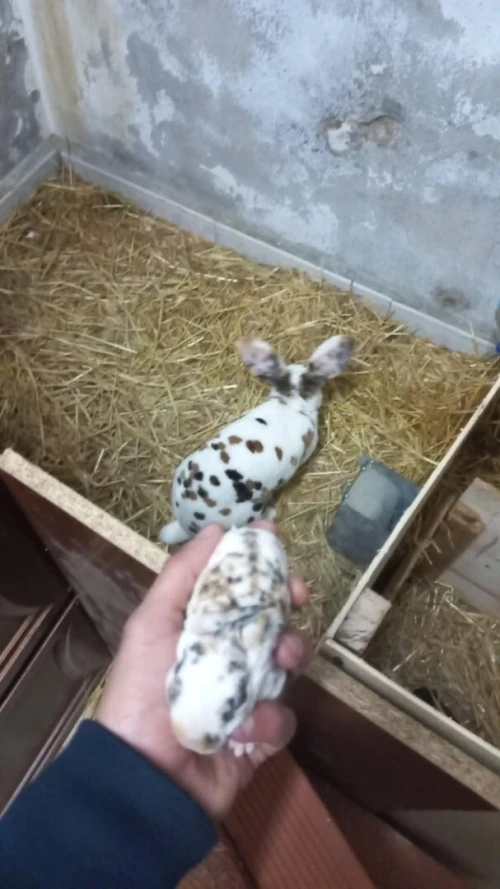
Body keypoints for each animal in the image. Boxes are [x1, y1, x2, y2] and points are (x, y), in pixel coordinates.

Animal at [166, 526, 291, 756]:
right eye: (173, 690)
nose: (191, 743)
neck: (225, 640)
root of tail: (253, 530)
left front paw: (242, 747)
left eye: (233, 707)